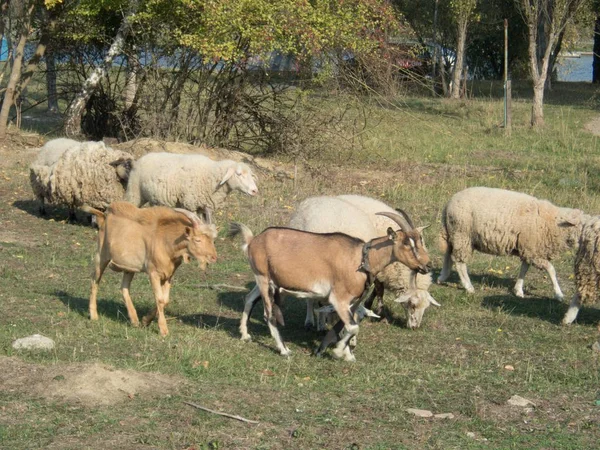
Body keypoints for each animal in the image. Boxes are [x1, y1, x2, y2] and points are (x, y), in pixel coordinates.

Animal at [83, 202, 217, 336]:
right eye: (198, 240)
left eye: (212, 240)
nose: (213, 257)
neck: (166, 242)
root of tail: (103, 217)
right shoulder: (154, 274)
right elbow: (160, 299)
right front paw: (163, 330)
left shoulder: (168, 276)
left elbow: (165, 300)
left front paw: (145, 320)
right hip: (101, 256)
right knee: (94, 281)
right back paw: (94, 315)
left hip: (129, 268)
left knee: (124, 287)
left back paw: (134, 320)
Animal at [124, 152, 258, 222]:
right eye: (239, 174)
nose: (255, 191)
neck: (210, 175)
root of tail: (138, 160)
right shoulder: (190, 203)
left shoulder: (204, 206)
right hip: (135, 192)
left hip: (153, 198)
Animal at [230, 211, 432, 362]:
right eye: (407, 243)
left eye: (420, 240)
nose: (427, 265)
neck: (361, 258)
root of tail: (253, 240)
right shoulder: (338, 299)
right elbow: (352, 327)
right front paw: (338, 351)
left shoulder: (351, 303)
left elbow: (346, 325)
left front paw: (346, 354)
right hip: (263, 278)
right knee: (269, 314)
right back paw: (284, 350)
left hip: (267, 281)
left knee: (249, 298)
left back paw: (245, 335)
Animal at [288, 195, 438, 328]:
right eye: (412, 304)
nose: (415, 327)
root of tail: (312, 199)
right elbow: (379, 290)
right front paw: (380, 313)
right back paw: (310, 321)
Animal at [436, 186, 584, 298]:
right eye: (584, 226)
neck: (553, 222)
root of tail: (448, 204)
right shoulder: (533, 251)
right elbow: (551, 269)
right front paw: (559, 294)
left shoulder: (529, 249)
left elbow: (524, 269)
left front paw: (518, 290)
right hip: (462, 234)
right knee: (459, 262)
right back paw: (468, 287)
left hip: (453, 233)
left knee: (448, 255)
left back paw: (442, 277)